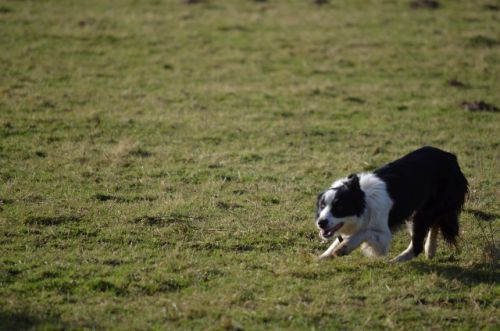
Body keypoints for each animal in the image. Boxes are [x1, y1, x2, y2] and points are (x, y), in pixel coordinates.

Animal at [316, 147, 468, 264]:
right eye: (322, 206)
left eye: (340, 207)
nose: (321, 223)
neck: (363, 199)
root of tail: (451, 157)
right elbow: (339, 240)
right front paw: (323, 257)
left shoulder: (382, 238)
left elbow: (364, 232)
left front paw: (344, 248)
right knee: (434, 224)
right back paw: (429, 250)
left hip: (422, 213)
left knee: (417, 245)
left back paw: (394, 261)